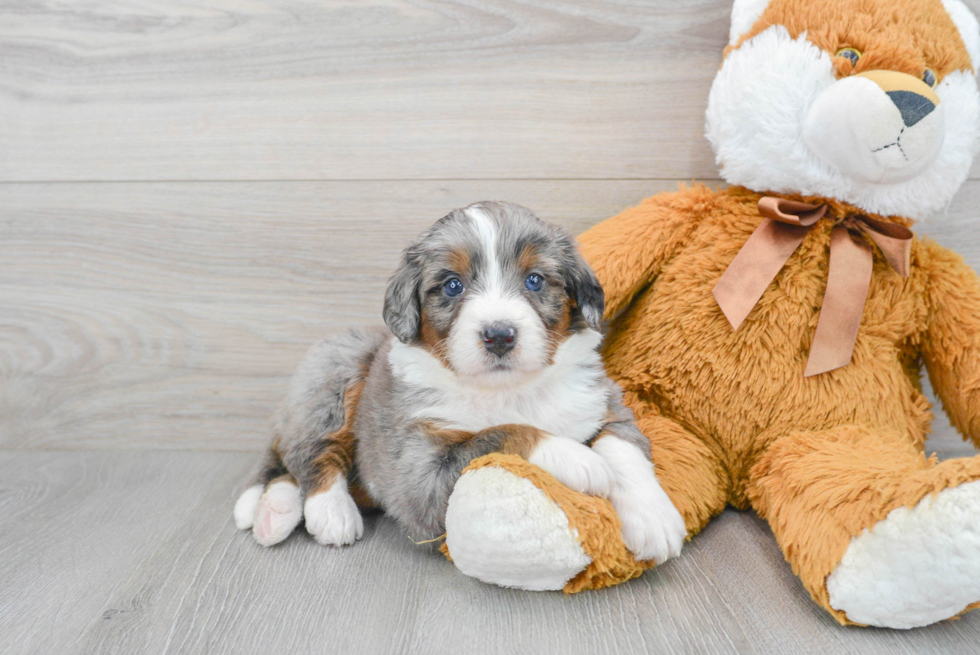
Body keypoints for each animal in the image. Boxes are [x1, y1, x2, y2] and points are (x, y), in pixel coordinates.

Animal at [234, 201, 684, 564]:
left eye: (535, 280)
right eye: (453, 285)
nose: (499, 335)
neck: (509, 389)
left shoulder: (602, 401)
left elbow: (623, 446)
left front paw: (654, 519)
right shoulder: (418, 473)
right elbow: (501, 433)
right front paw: (576, 458)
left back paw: (275, 513)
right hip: (337, 365)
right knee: (308, 454)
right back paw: (329, 512)